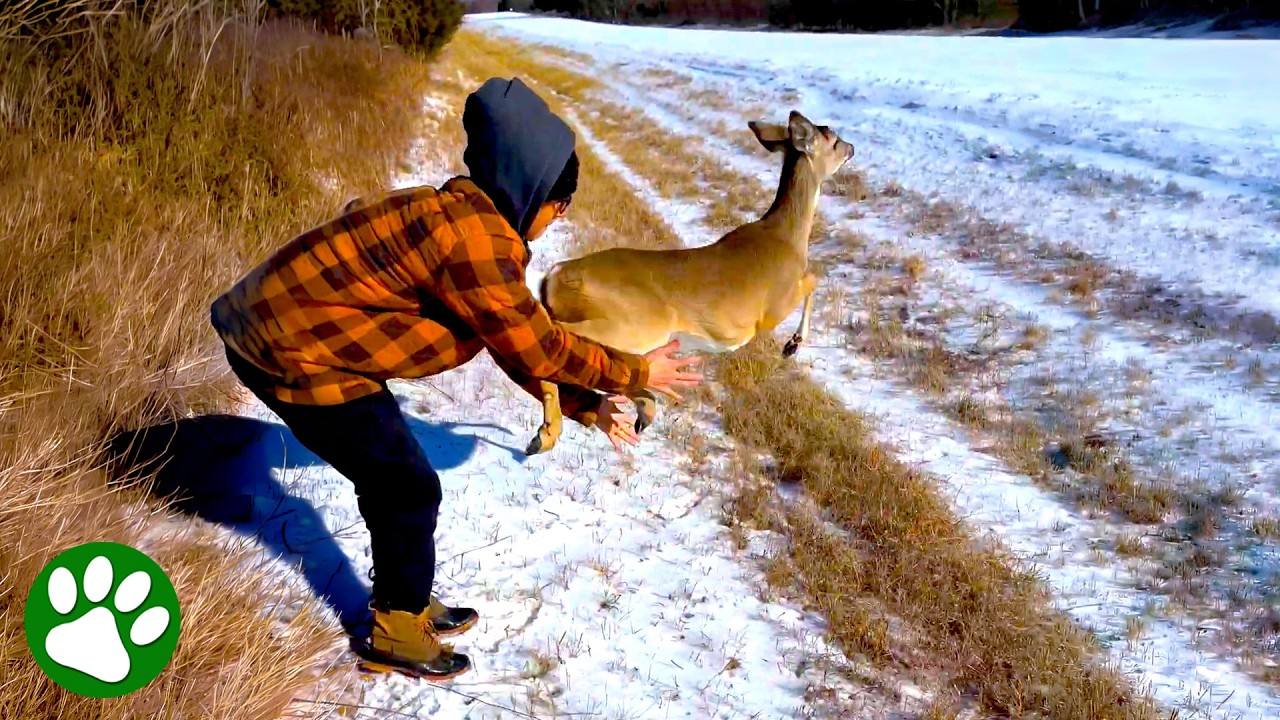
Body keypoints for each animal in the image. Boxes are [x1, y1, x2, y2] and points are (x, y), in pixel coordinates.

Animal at [524, 110, 855, 456]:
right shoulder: (771, 309)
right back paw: (552, 431)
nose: (852, 148)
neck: (788, 236)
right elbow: (814, 279)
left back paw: (631, 413)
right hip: (639, 323)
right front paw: (793, 344)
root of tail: (556, 275)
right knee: (560, 343)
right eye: (832, 139)